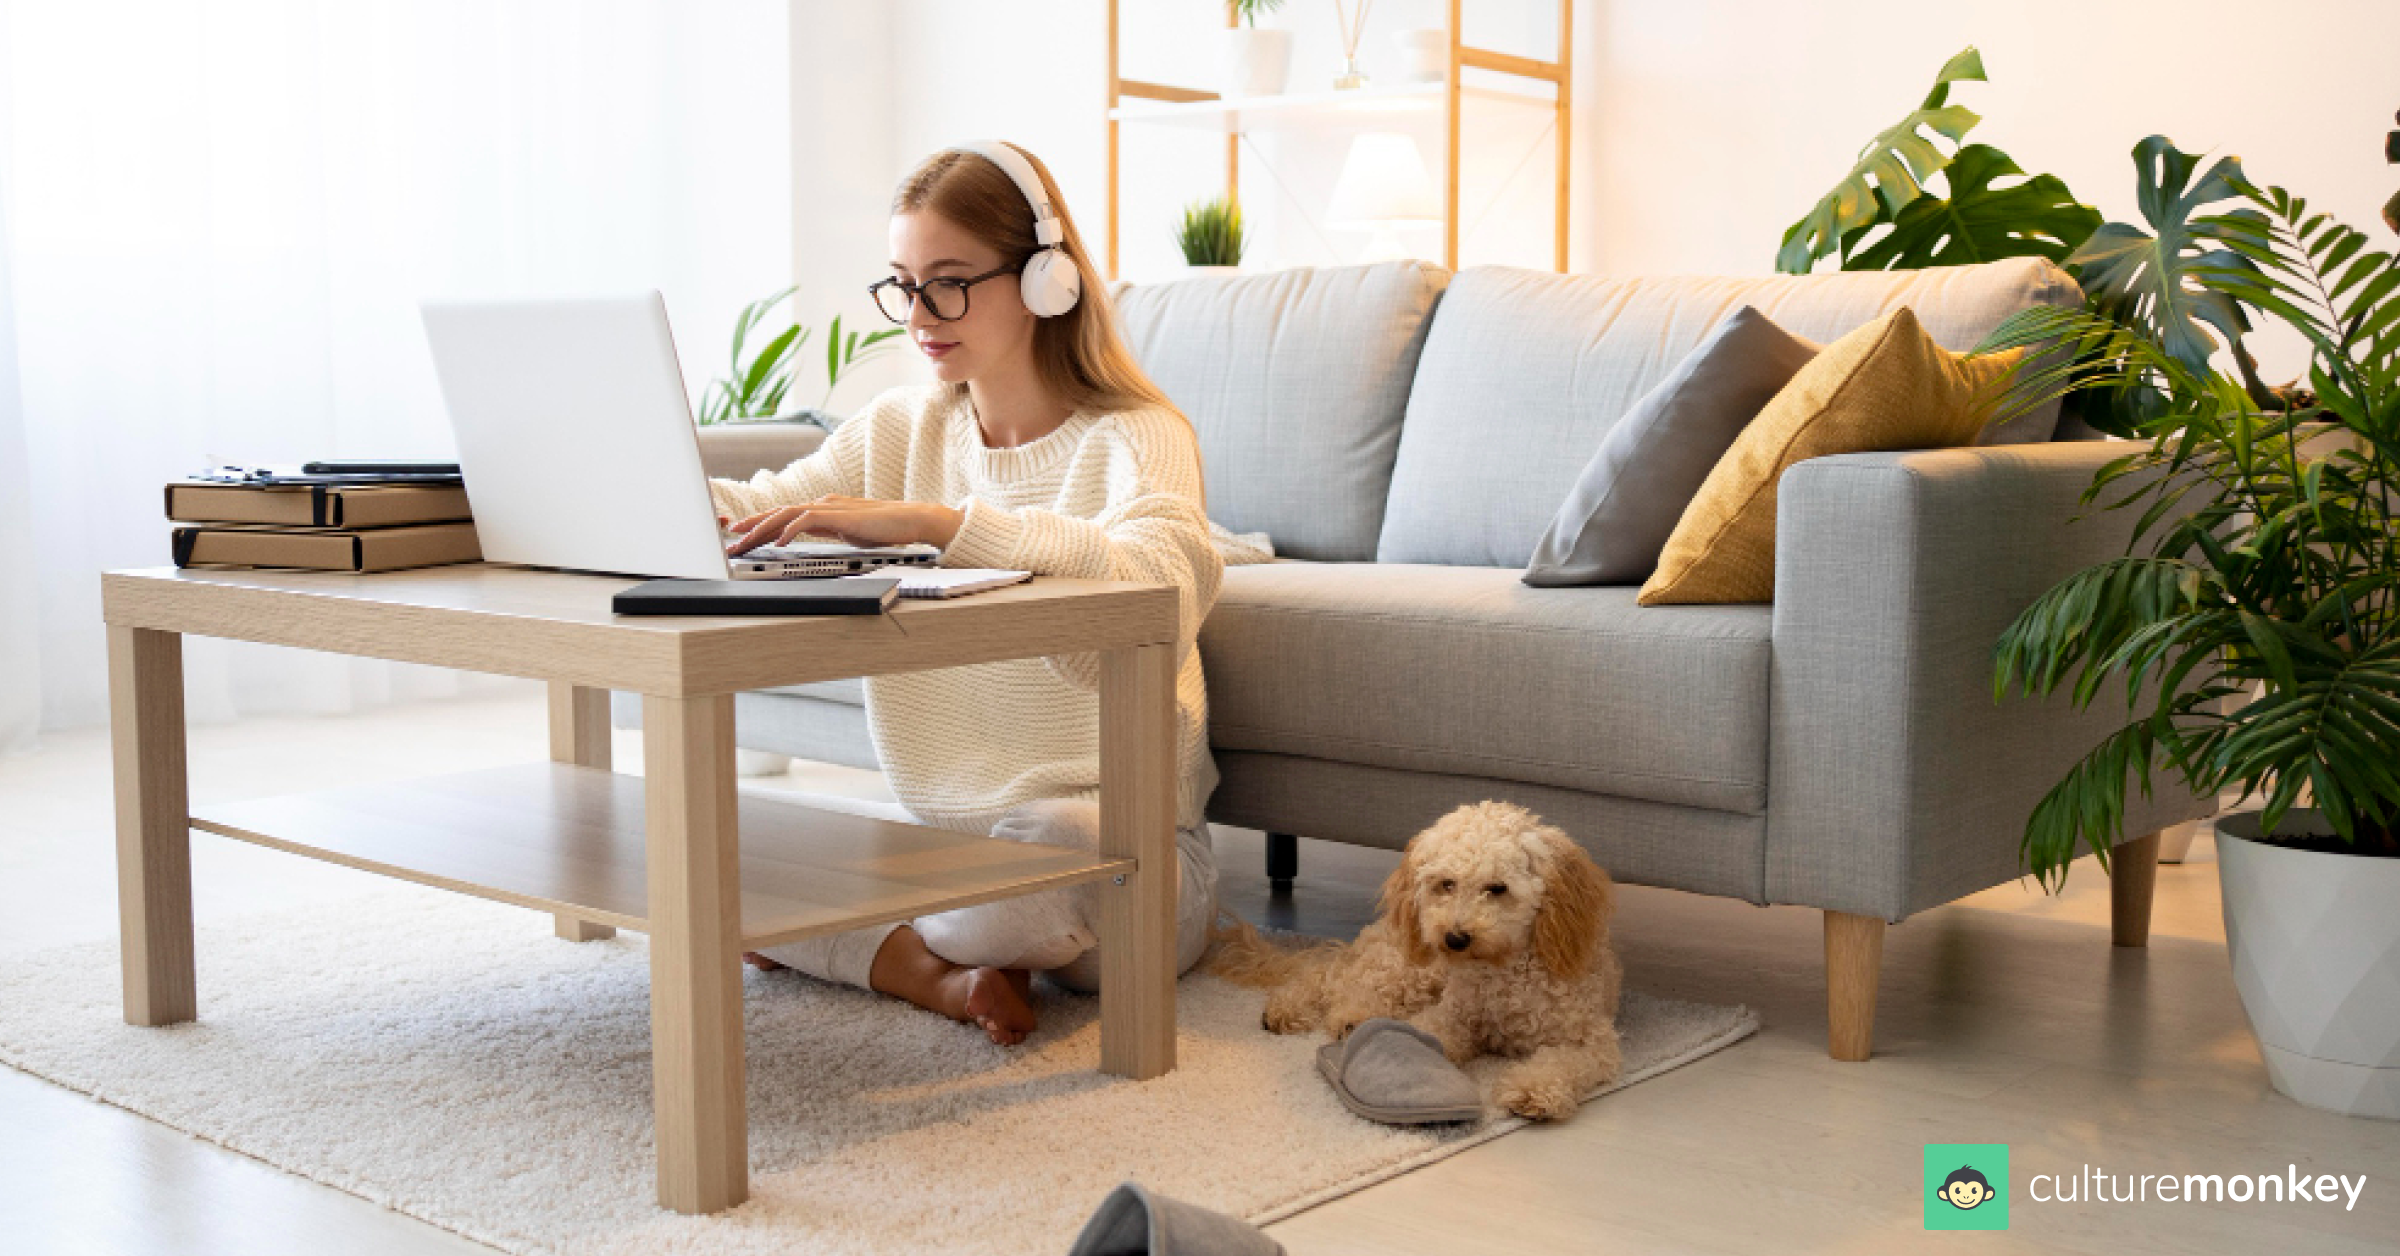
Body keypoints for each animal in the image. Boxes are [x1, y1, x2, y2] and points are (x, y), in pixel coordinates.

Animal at [1219, 806, 1632, 1119]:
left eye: (1498, 888)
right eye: (1446, 883)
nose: (1454, 938)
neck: (1503, 973)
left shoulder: (1589, 1040)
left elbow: (1558, 1062)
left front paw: (1532, 1089)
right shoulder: (1449, 1016)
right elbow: (1425, 1034)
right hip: (1413, 969)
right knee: (1330, 975)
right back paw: (1307, 1011)